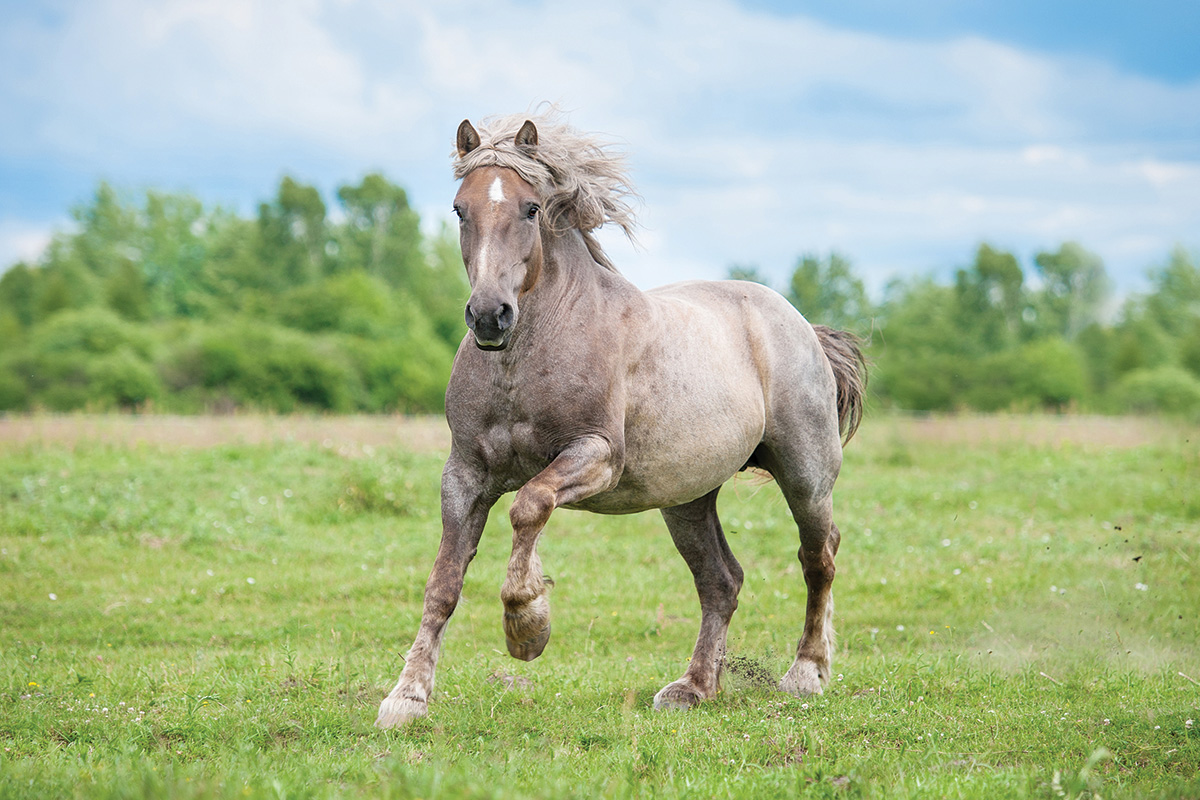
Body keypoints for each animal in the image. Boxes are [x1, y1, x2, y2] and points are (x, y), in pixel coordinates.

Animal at [376, 111, 866, 728]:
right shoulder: (464, 474)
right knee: (721, 581)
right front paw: (406, 697)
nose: (490, 316)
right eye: (460, 209)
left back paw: (806, 673)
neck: (525, 358)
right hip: (687, 498)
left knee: (817, 558)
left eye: (530, 208)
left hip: (805, 474)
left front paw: (527, 626)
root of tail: (803, 327)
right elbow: (443, 583)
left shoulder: (597, 457)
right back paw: (693, 687)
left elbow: (529, 505)